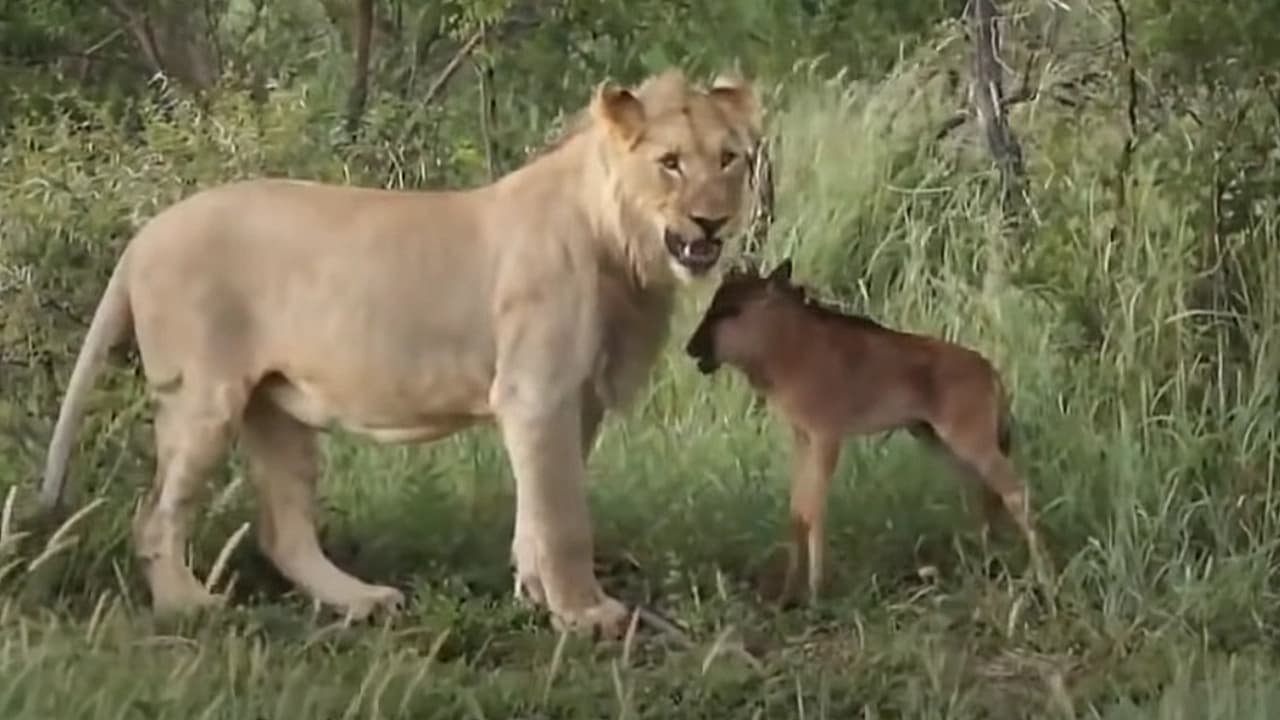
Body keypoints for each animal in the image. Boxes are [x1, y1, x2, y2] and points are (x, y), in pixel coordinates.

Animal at [37, 70, 757, 635]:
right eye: (670, 162)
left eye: (730, 159)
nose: (712, 222)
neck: (627, 253)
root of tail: (143, 235)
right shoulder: (537, 391)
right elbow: (564, 514)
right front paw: (586, 613)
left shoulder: (576, 401)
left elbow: (541, 507)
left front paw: (534, 594)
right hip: (203, 401)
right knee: (155, 516)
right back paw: (188, 607)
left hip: (278, 408)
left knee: (283, 530)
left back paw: (362, 601)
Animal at [686, 257, 1044, 599]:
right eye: (714, 304)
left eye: (731, 310)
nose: (692, 348)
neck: (791, 347)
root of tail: (990, 371)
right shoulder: (802, 437)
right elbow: (797, 511)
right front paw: (789, 591)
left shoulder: (827, 436)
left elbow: (814, 510)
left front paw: (816, 591)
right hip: (939, 440)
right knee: (985, 492)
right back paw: (987, 562)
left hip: (970, 441)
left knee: (1016, 492)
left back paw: (1041, 575)